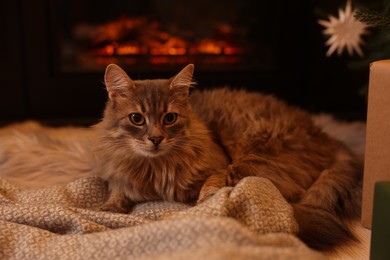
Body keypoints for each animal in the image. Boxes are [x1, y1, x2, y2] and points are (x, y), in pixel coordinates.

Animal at [95, 63, 362, 252]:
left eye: (169, 118)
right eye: (137, 119)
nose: (156, 138)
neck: (156, 166)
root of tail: (325, 136)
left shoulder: (219, 167)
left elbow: (210, 192)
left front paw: (200, 204)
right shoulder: (117, 174)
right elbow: (117, 192)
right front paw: (107, 210)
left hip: (251, 159)